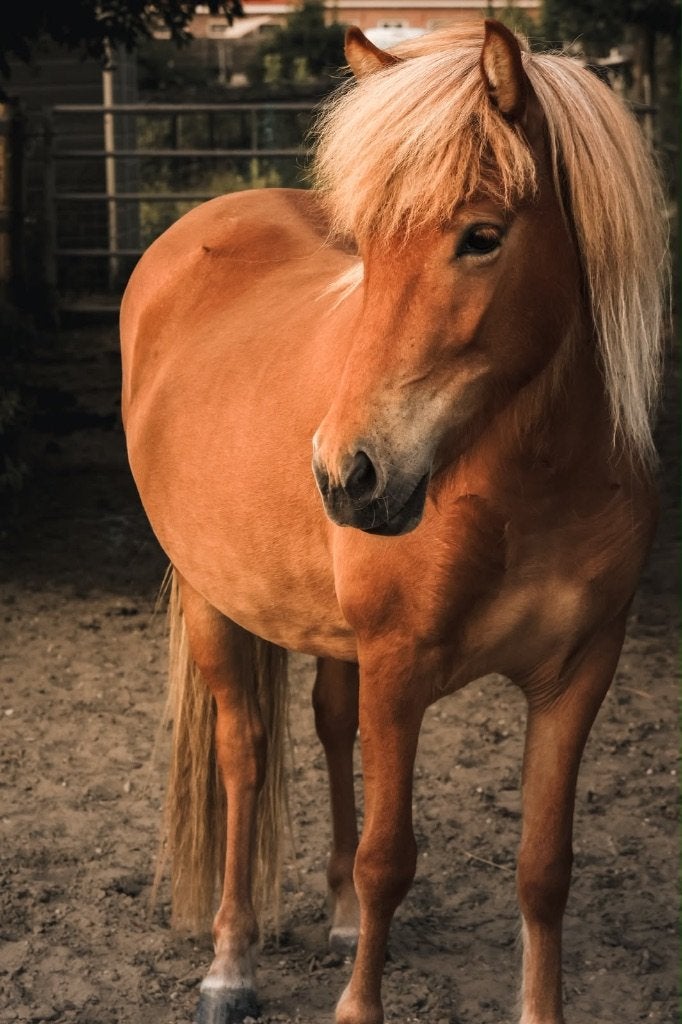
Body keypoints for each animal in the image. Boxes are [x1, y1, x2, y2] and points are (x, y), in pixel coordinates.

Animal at [120, 20, 667, 1024]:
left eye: (482, 238)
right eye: (369, 247)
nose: (348, 473)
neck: (527, 488)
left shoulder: (578, 674)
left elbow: (543, 872)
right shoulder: (400, 669)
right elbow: (389, 859)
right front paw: (351, 999)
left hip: (334, 636)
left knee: (330, 725)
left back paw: (334, 920)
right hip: (220, 607)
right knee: (244, 756)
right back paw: (230, 965)